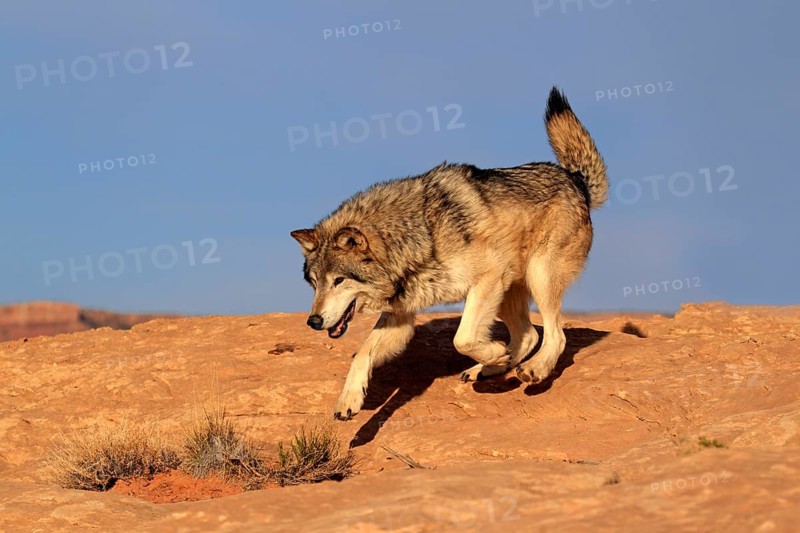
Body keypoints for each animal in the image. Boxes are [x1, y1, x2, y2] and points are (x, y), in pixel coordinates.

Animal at [291, 87, 608, 420]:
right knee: (529, 334)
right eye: (315, 284)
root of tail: (576, 180)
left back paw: (531, 369)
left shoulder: (486, 279)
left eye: (338, 281)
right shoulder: (401, 317)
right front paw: (349, 400)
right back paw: (490, 368)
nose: (313, 321)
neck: (419, 234)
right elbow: (362, 354)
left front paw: (495, 351)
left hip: (537, 277)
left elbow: (462, 338)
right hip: (509, 293)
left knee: (554, 335)